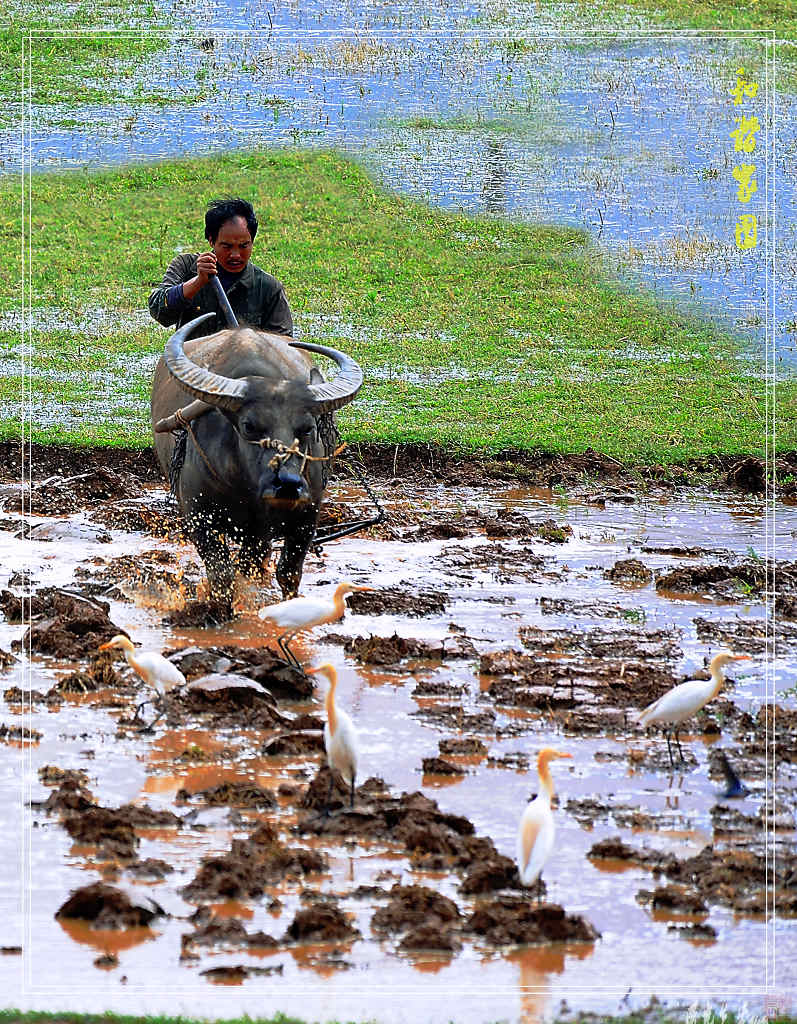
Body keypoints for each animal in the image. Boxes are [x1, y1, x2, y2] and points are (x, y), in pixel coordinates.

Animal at [149, 311, 360, 598]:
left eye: (307, 428)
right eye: (249, 425)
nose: (288, 484)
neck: (248, 486)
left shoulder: (305, 518)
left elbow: (286, 572)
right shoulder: (199, 518)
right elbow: (222, 575)